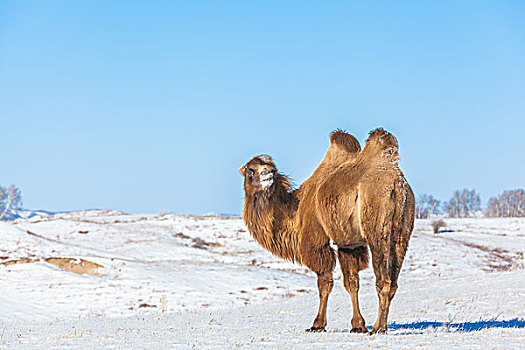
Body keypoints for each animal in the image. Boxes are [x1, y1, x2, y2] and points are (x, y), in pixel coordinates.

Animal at [237, 128, 414, 334]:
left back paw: (378, 328)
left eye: (270, 167)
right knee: (393, 280)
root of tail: (397, 183)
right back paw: (379, 325)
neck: (297, 207)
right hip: (402, 231)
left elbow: (325, 283)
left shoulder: (317, 239)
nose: (269, 173)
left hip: (377, 228)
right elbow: (352, 283)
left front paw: (317, 324)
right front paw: (358, 325)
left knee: (383, 280)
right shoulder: (349, 243)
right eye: (251, 170)